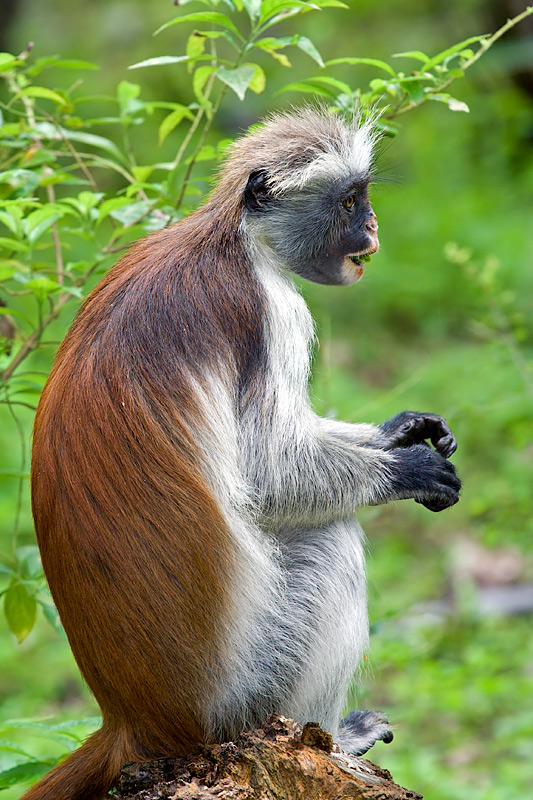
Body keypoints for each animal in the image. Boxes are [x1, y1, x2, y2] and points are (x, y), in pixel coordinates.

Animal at [25, 109, 460, 800]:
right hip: (244, 691)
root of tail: (134, 721)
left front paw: (405, 430)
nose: (372, 228)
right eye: (349, 201)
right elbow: (268, 475)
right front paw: (407, 469)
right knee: (332, 542)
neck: (232, 241)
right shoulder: (271, 311)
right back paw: (332, 738)